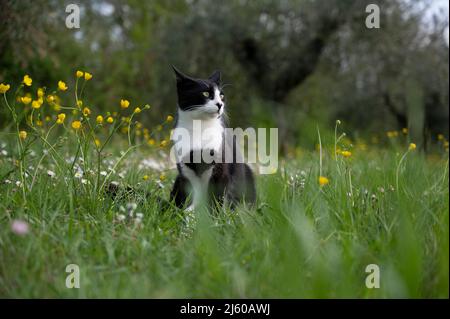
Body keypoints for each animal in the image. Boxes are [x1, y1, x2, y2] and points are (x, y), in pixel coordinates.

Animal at [170, 66, 255, 211]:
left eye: (221, 95)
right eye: (205, 93)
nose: (220, 104)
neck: (200, 127)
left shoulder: (220, 169)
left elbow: (216, 198)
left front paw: (213, 215)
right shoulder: (185, 171)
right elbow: (190, 193)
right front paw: (188, 212)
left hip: (247, 173)